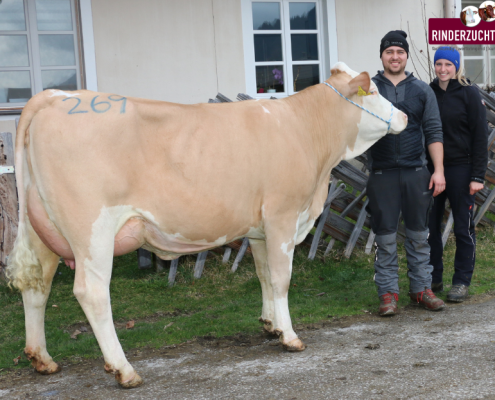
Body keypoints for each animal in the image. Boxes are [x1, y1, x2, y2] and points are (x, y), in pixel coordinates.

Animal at [6, 62, 406, 388]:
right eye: (373, 91)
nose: (403, 117)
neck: (306, 131)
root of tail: (55, 96)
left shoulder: (258, 229)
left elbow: (263, 275)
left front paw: (271, 324)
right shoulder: (282, 216)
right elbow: (281, 278)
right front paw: (290, 337)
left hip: (43, 231)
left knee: (36, 286)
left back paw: (43, 360)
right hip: (92, 230)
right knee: (91, 292)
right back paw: (124, 370)